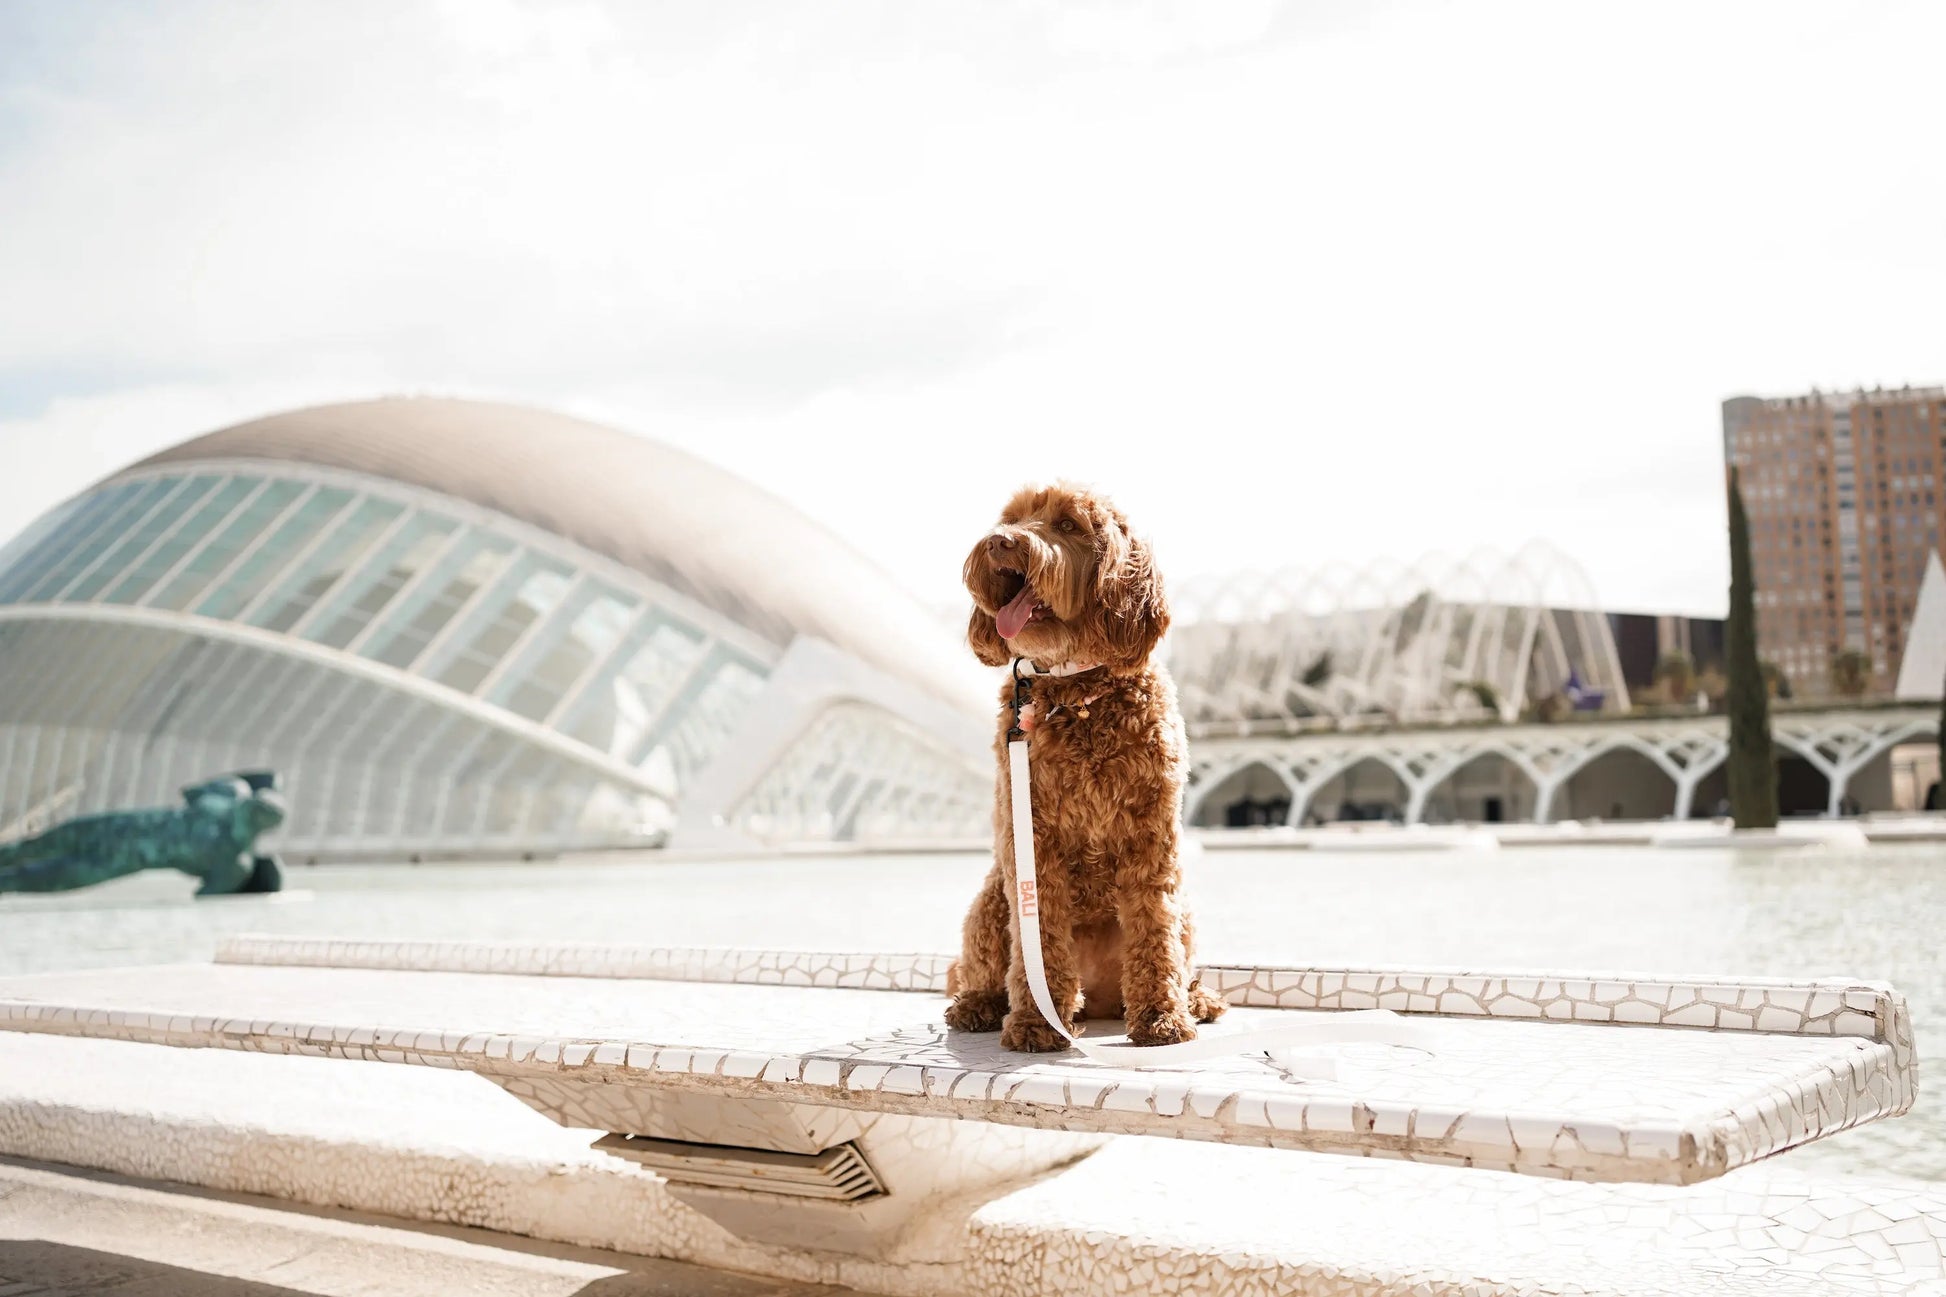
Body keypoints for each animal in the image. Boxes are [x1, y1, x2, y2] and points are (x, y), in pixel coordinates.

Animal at [937, 479, 1222, 1043]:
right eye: (1012, 517)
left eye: (1068, 524)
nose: (1000, 541)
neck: (1077, 689)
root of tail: (1100, 1000)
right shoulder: (1034, 839)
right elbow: (1041, 934)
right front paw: (1034, 1022)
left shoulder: (1152, 838)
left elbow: (1154, 929)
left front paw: (1161, 1016)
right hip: (991, 901)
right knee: (983, 967)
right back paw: (981, 1006)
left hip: (1186, 909)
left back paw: (1195, 998)